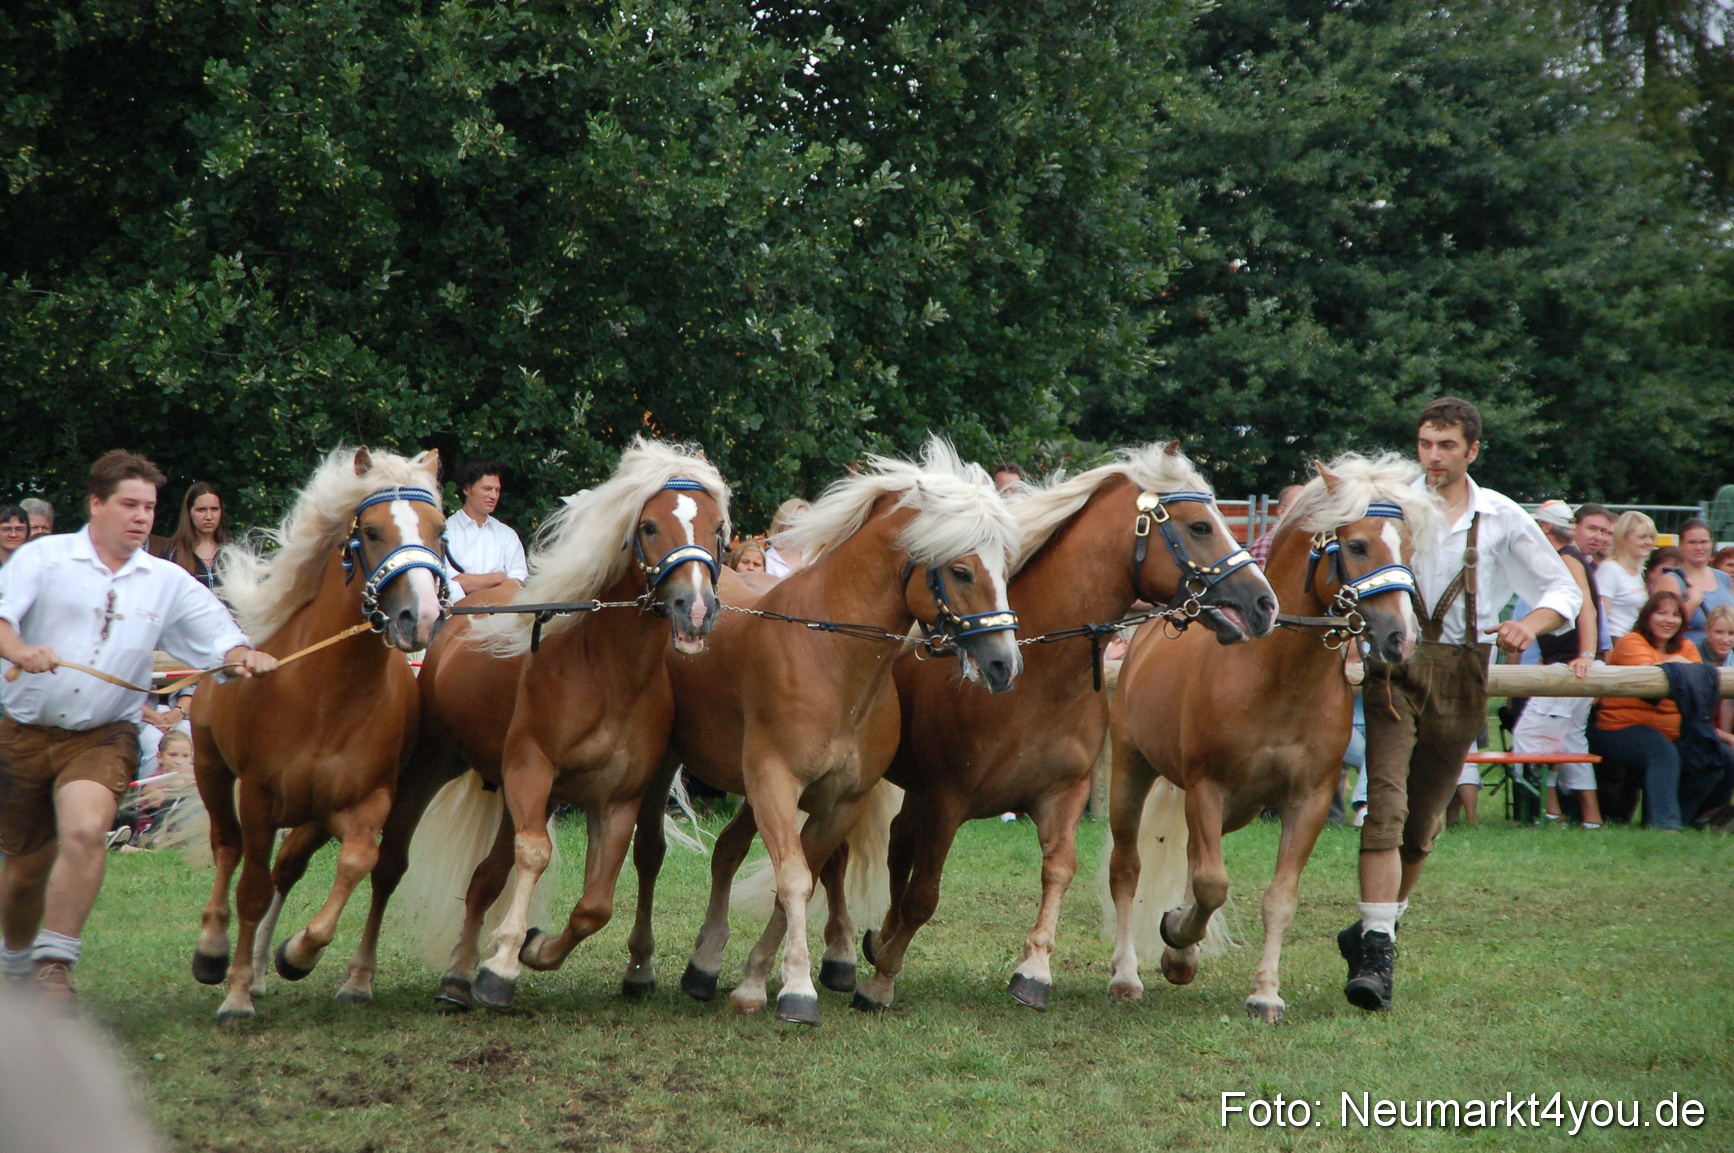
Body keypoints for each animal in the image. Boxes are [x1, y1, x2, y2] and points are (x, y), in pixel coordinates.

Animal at [190, 446, 450, 1023]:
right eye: (371, 532)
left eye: (440, 530)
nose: (419, 618)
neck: (327, 693)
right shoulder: (259, 797)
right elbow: (250, 888)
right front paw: (236, 996)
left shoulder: (368, 800)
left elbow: (357, 862)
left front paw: (297, 954)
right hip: (210, 767)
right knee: (226, 847)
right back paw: (214, 952)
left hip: (315, 812)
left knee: (288, 867)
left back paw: (266, 965)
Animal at [384, 438, 729, 1012]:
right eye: (649, 526)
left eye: (716, 528)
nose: (696, 609)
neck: (607, 672)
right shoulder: (532, 770)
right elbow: (536, 855)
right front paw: (501, 965)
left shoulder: (616, 800)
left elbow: (595, 905)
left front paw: (535, 947)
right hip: (444, 766)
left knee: (485, 879)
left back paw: (457, 976)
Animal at [654, 437, 1023, 1026]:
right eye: (963, 571)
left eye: (1005, 567)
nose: (1004, 665)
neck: (830, 656)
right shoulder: (776, 785)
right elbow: (795, 879)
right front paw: (795, 990)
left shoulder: (840, 802)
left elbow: (801, 882)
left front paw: (756, 978)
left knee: (728, 851)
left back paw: (704, 964)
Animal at [1101, 452, 1441, 1022]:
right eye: (1356, 545)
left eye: (1409, 547)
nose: (1400, 637)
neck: (1277, 679)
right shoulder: (1206, 788)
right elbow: (1212, 884)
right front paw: (1177, 940)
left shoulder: (1306, 800)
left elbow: (1276, 898)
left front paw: (1263, 992)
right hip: (1133, 773)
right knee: (1127, 869)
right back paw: (1128, 974)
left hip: (1235, 810)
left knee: (1191, 859)